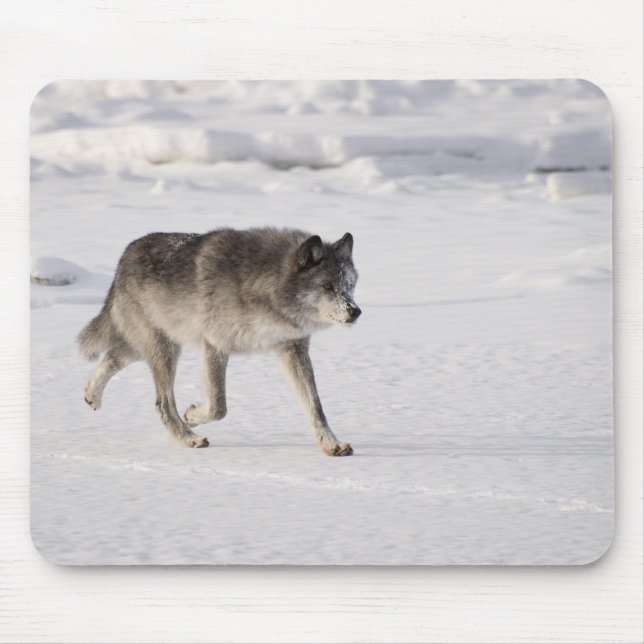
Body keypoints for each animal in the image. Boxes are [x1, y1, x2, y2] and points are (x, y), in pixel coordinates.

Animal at [77, 227, 361, 456]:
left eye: (349, 286)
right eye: (327, 286)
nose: (355, 311)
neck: (265, 286)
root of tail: (124, 257)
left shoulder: (293, 349)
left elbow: (315, 407)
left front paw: (331, 444)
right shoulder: (215, 346)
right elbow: (218, 406)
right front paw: (192, 415)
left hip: (157, 344)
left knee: (113, 356)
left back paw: (92, 395)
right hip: (164, 350)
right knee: (162, 403)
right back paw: (189, 439)